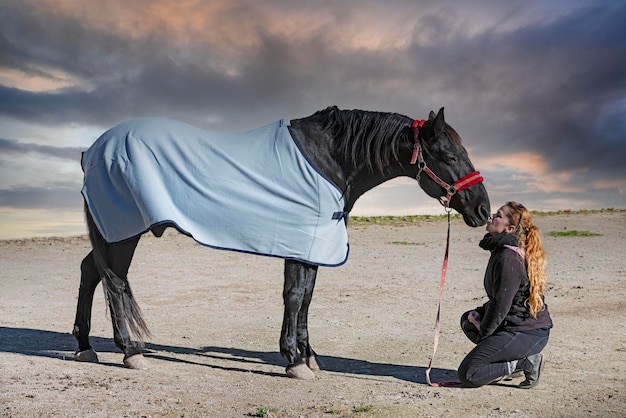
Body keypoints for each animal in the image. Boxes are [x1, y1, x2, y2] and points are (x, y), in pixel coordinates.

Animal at [72, 107, 488, 378]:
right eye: (448, 154)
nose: (482, 208)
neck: (328, 160)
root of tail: (92, 151)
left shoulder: (313, 246)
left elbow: (306, 297)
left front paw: (308, 355)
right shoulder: (300, 243)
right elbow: (295, 295)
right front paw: (294, 360)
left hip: (111, 233)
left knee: (91, 272)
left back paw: (85, 346)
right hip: (122, 233)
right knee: (114, 282)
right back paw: (130, 351)